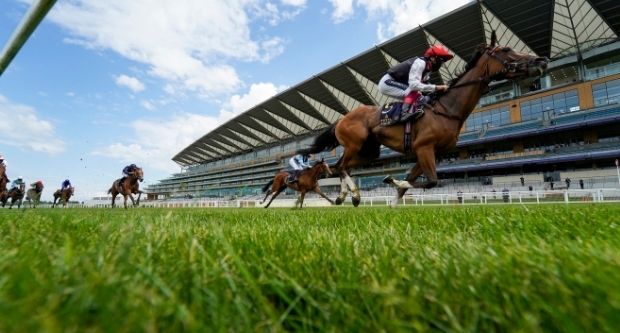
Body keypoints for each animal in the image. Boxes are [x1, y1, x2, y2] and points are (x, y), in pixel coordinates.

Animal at [300, 32, 548, 206]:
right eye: (506, 49)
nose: (541, 60)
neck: (447, 110)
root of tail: (341, 119)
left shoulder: (429, 152)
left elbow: (411, 184)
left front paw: (392, 202)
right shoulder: (424, 147)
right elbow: (430, 181)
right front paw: (391, 180)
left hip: (369, 151)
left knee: (341, 166)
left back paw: (345, 196)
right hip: (354, 143)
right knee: (341, 166)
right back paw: (353, 195)